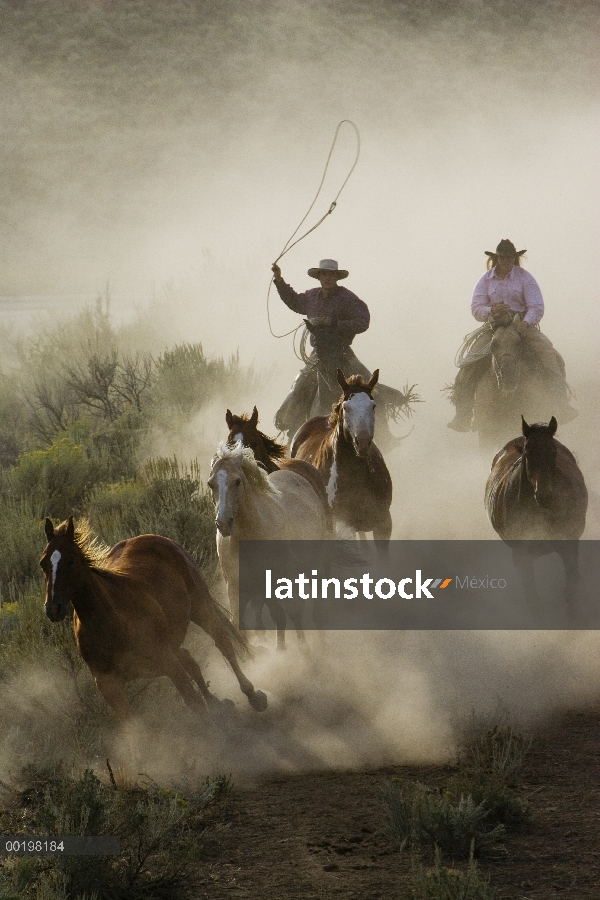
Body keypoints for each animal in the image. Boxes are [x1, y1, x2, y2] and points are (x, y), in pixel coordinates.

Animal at [41, 516, 266, 720]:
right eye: (43, 564)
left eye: (70, 560)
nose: (53, 608)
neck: (111, 621)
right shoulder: (108, 685)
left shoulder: (167, 661)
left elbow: (193, 701)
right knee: (190, 659)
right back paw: (218, 703)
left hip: (199, 606)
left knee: (222, 643)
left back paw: (253, 697)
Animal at [207, 442, 328, 648]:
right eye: (210, 483)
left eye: (237, 481)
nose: (223, 523)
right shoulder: (239, 589)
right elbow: (241, 624)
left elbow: (293, 612)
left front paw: (305, 651)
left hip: (316, 561)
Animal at [486, 416, 588, 604]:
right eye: (527, 453)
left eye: (553, 452)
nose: (544, 495)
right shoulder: (521, 556)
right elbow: (532, 598)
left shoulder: (569, 545)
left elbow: (572, 587)